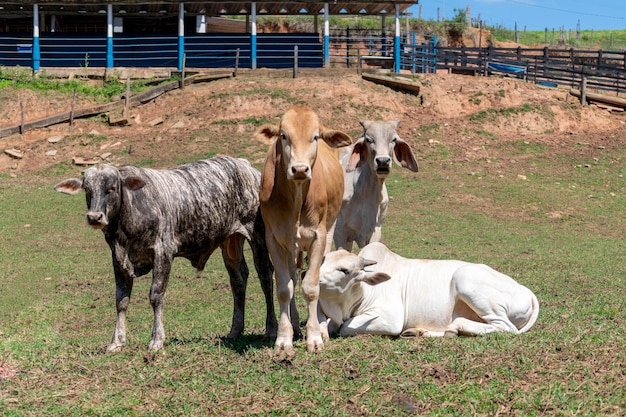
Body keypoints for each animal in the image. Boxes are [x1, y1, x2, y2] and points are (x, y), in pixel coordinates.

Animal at [255, 105, 352, 352]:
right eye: (283, 136)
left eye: (315, 136)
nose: (299, 169)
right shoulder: (274, 239)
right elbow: (284, 288)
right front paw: (284, 338)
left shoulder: (318, 236)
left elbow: (311, 287)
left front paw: (315, 337)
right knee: (292, 277)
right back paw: (296, 326)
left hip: (328, 230)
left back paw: (321, 327)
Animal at [316, 240, 536, 338]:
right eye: (323, 260)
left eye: (344, 270)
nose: (310, 278)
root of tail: (525, 290)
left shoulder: (390, 318)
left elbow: (345, 327)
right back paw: (419, 332)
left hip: (465, 280)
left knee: (505, 327)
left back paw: (456, 326)